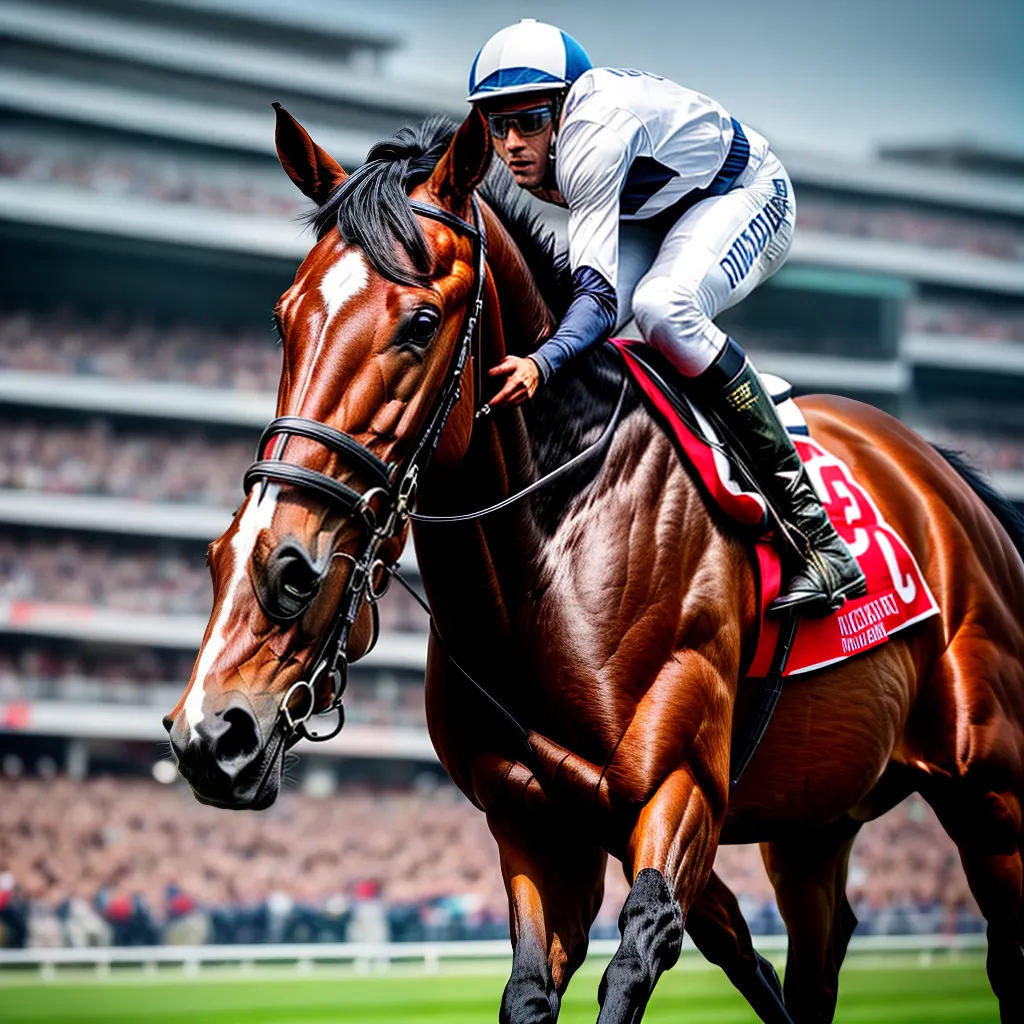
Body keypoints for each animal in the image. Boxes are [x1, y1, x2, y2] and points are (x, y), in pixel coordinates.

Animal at [164, 105, 1024, 1024]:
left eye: (420, 323)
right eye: (284, 317)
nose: (217, 732)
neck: (555, 559)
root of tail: (943, 477)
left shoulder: (680, 785)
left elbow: (639, 948)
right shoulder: (534, 817)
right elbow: (532, 987)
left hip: (988, 792)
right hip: (814, 820)